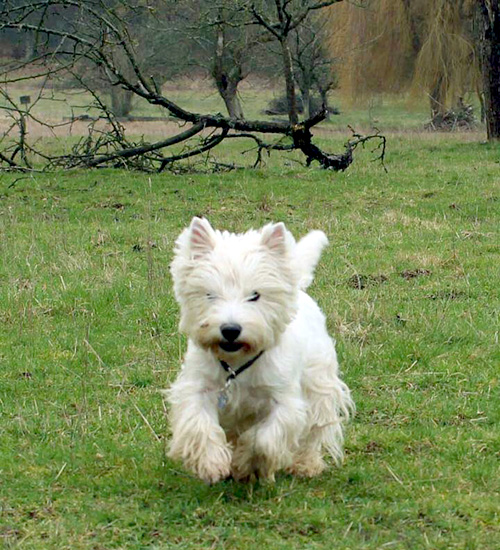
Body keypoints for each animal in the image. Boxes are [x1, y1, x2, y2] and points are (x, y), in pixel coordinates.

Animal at [164, 218, 352, 486]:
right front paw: (212, 464)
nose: (230, 330)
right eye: (209, 294)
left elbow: (264, 438)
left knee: (315, 428)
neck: (236, 365)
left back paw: (305, 464)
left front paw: (246, 463)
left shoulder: (284, 400)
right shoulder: (198, 388)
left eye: (255, 295)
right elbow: (201, 424)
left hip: (319, 382)